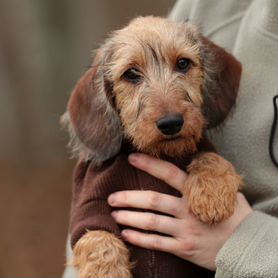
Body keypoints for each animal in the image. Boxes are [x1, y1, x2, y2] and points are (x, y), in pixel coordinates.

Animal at [62, 16, 243, 278]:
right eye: (131, 74)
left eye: (183, 63)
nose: (171, 123)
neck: (158, 152)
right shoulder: (90, 208)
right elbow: (101, 242)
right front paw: (108, 272)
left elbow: (210, 156)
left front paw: (212, 195)